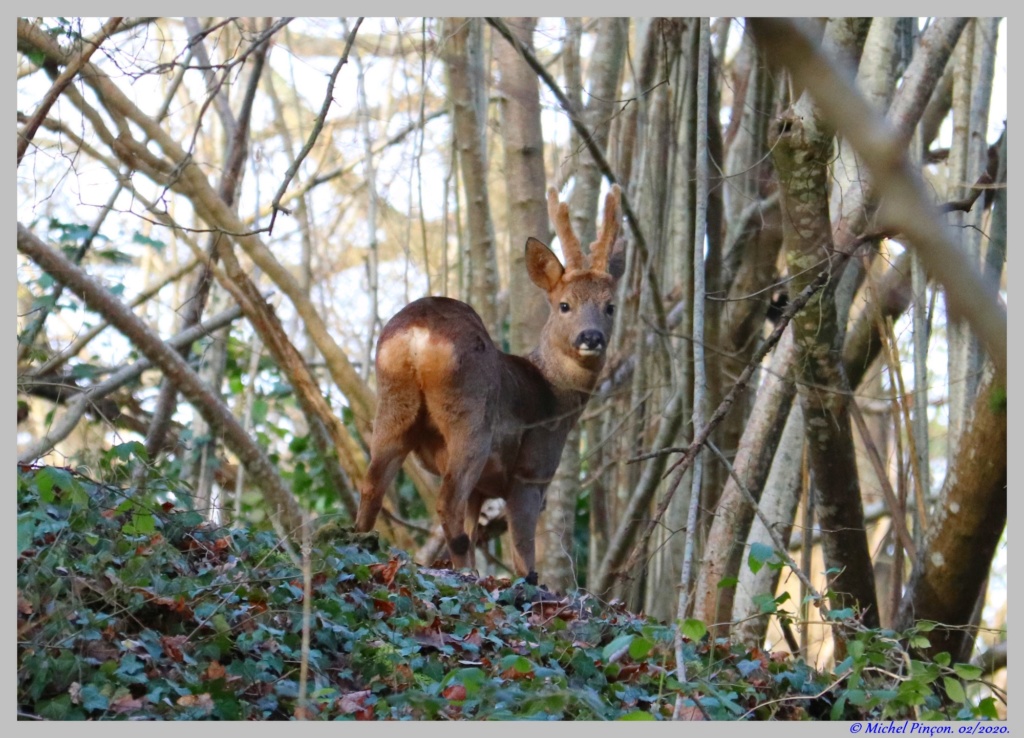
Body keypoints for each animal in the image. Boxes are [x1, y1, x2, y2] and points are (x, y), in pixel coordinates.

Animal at [352, 184, 622, 581]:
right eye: (564, 305)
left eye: (610, 306)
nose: (591, 337)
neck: (555, 397)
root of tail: (417, 334)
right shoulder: (533, 471)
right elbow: (524, 555)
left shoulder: (483, 489)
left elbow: (475, 524)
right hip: (470, 420)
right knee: (446, 502)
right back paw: (465, 576)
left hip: (392, 405)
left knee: (372, 486)